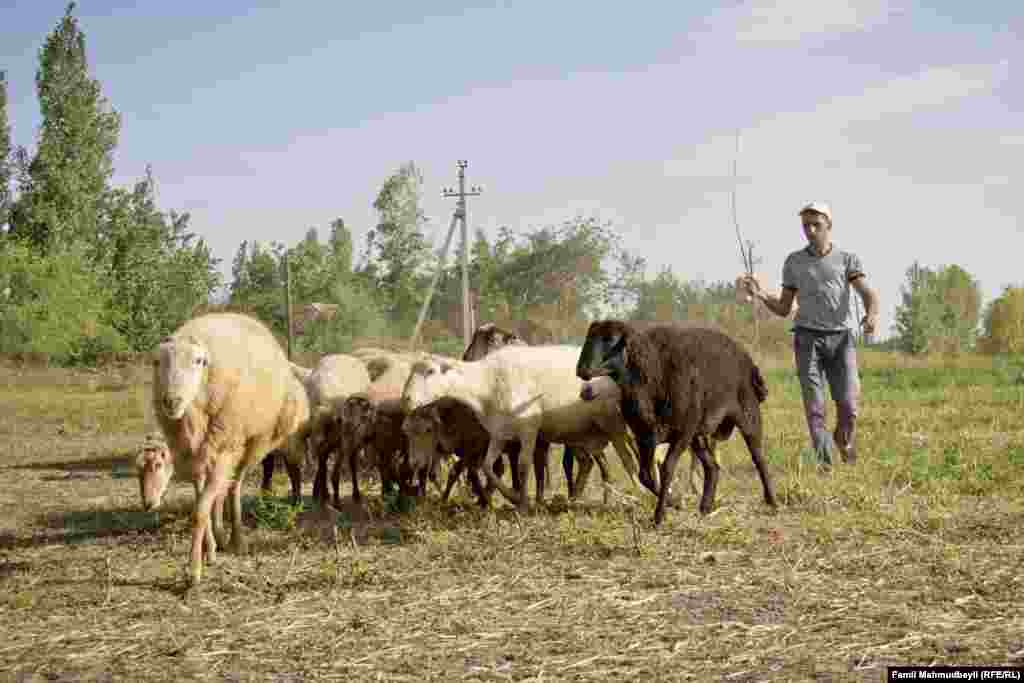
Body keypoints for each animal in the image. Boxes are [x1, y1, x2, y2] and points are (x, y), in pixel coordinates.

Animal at [151, 315, 309, 589]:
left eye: (198, 361)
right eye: (157, 361)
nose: (171, 401)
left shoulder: (225, 448)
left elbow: (199, 511)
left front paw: (194, 570)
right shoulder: (194, 456)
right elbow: (202, 500)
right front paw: (210, 550)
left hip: (251, 443)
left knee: (235, 485)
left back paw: (237, 538)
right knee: (223, 490)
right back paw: (222, 537)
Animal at [399, 344, 638, 509]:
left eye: (430, 371)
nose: (406, 399)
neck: (488, 382)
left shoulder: (528, 429)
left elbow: (523, 465)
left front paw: (523, 502)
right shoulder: (499, 433)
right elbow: (488, 467)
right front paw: (511, 496)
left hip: (612, 423)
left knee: (626, 460)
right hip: (581, 432)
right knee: (590, 462)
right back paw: (574, 499)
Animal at [577, 317, 774, 528]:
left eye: (610, 339)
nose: (582, 370)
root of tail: (746, 357)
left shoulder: (681, 433)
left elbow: (667, 468)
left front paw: (659, 516)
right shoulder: (644, 436)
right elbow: (645, 476)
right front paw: (675, 504)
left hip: (747, 415)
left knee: (759, 458)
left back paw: (772, 501)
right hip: (697, 434)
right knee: (712, 467)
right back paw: (706, 507)